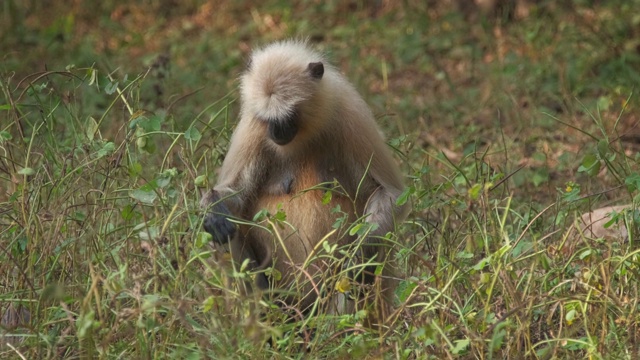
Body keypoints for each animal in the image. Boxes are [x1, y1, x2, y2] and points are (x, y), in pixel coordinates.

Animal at [201, 40, 410, 324]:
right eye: (268, 119)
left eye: (289, 116)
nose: (277, 133)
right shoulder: (253, 125)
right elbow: (233, 196)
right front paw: (214, 209)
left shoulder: (349, 114)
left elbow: (389, 193)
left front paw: (358, 255)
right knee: (224, 230)